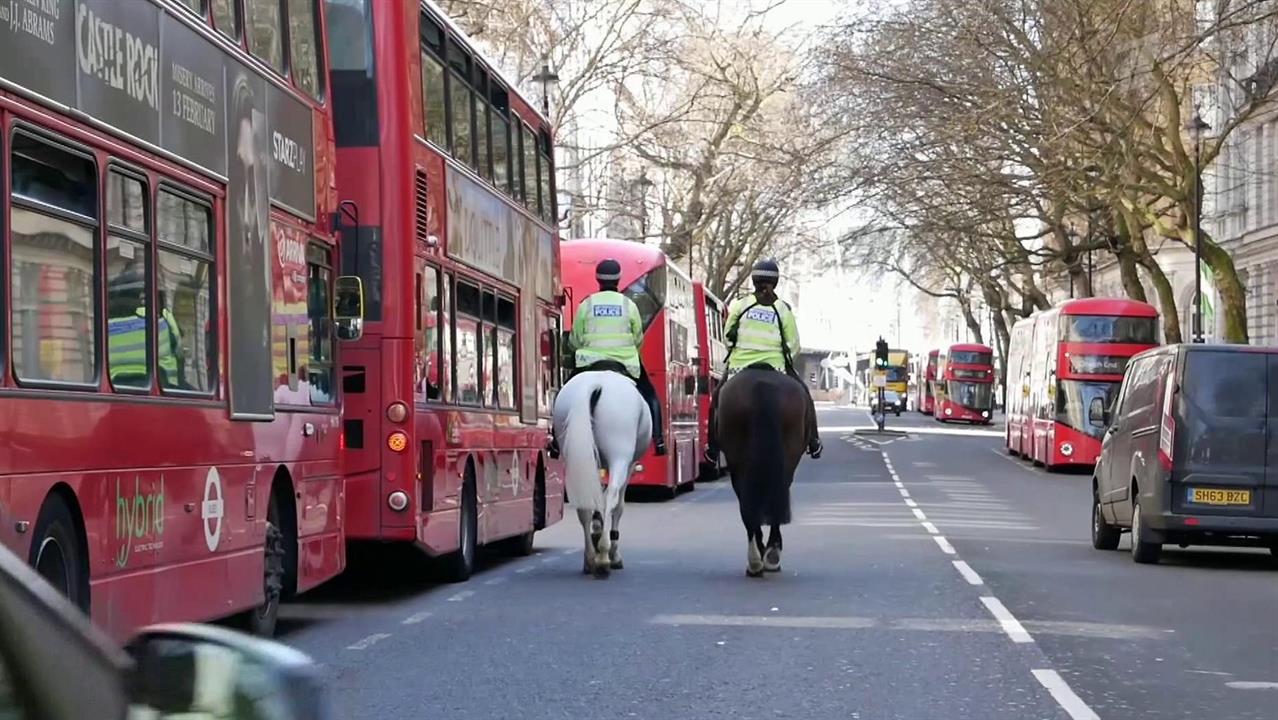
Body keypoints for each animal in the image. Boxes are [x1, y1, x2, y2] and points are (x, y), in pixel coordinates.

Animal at [552, 368, 649, 578]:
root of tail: (596, 384)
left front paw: (596, 530)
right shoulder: (630, 464)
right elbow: (617, 505)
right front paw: (613, 553)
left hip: (574, 452)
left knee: (584, 506)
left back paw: (590, 558)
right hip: (620, 453)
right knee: (612, 496)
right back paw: (604, 556)